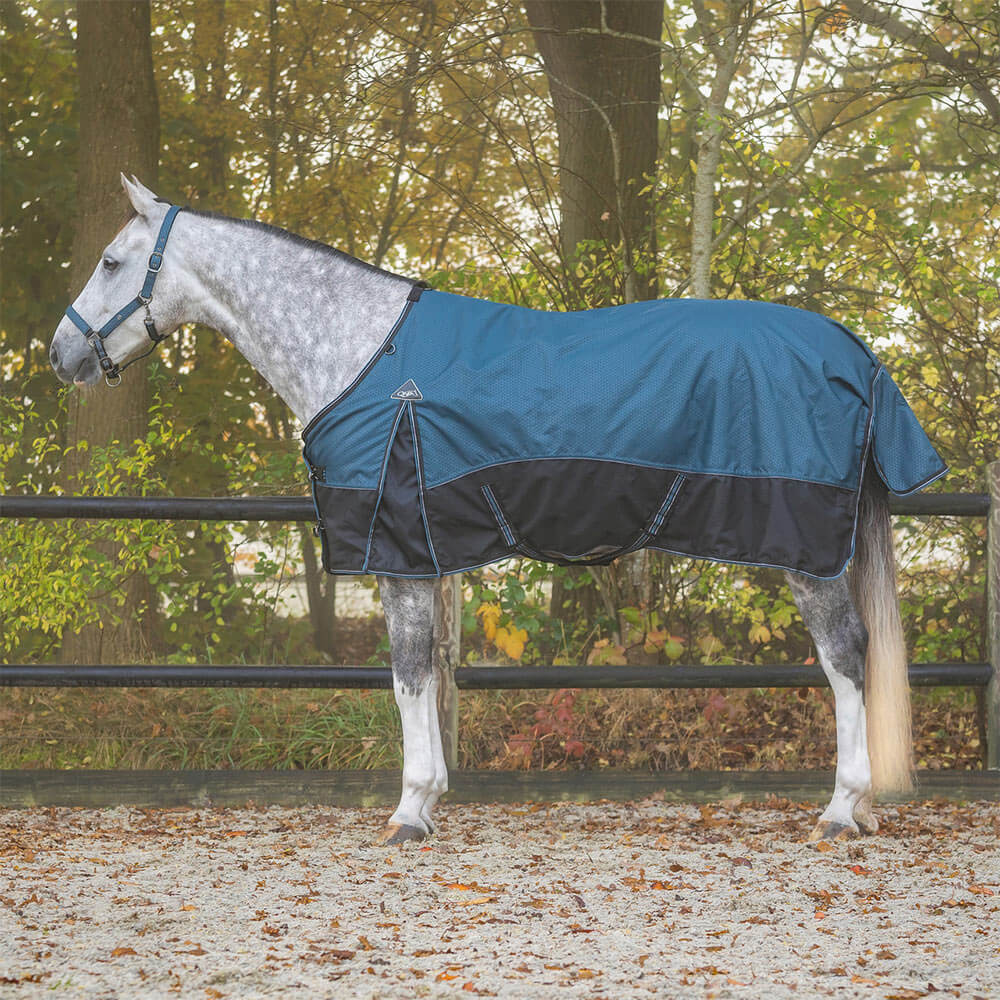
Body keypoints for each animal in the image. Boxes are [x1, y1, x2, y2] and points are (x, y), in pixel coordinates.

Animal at [50, 175, 943, 845]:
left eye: (111, 260)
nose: (60, 355)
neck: (362, 350)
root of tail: (854, 351)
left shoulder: (399, 557)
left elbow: (408, 676)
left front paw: (410, 811)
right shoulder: (422, 557)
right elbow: (424, 675)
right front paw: (431, 798)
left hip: (806, 551)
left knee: (846, 658)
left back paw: (843, 810)